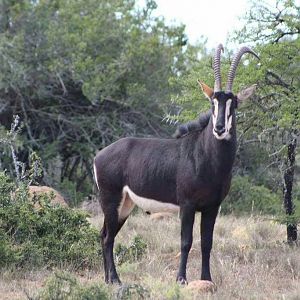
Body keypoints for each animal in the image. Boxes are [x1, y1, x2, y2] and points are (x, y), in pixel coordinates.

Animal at [94, 44, 260, 284]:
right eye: (213, 102)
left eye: (233, 103)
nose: (219, 128)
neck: (206, 158)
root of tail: (99, 156)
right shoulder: (187, 205)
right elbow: (186, 242)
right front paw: (181, 279)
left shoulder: (212, 208)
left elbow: (207, 243)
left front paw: (206, 279)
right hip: (110, 200)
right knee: (108, 238)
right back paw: (115, 280)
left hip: (125, 205)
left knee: (105, 234)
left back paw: (108, 280)